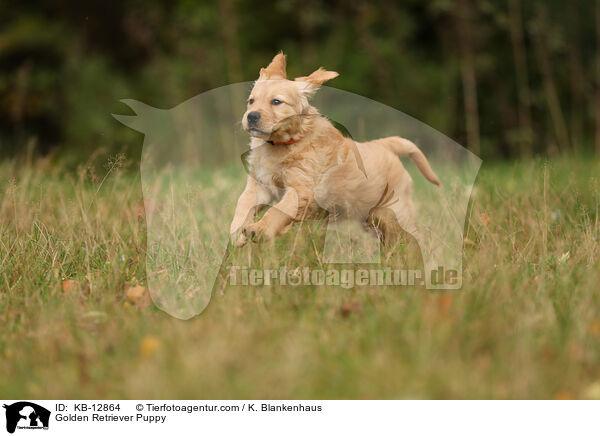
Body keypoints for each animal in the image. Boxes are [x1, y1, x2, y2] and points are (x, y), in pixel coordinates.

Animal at [230, 51, 440, 247]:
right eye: (251, 101)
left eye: (276, 102)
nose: (251, 116)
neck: (284, 144)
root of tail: (384, 144)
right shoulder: (260, 186)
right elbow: (243, 203)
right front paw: (237, 233)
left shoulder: (302, 191)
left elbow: (277, 210)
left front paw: (259, 229)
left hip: (398, 209)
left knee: (415, 235)